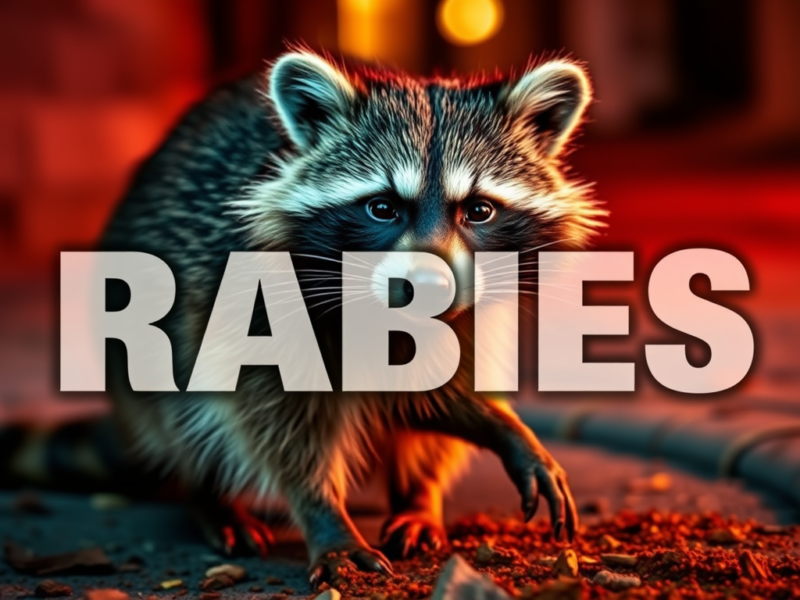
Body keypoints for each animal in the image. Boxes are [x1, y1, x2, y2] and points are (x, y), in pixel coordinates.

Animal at [63, 50, 603, 586]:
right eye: (382, 207)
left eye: (479, 210)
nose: (429, 287)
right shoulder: (251, 303)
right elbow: (279, 423)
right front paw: (323, 513)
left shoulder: (469, 316)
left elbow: (427, 390)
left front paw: (495, 423)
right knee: (185, 410)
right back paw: (213, 499)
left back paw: (418, 499)